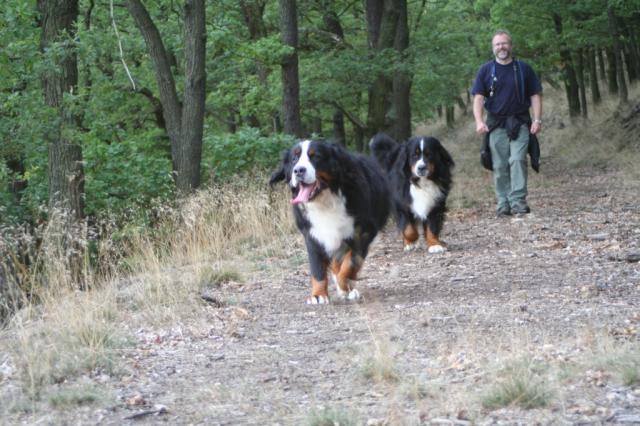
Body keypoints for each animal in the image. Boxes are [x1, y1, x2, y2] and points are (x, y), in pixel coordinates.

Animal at [270, 139, 390, 302]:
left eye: (316, 156)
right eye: (294, 159)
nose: (298, 170)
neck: (325, 201)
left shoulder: (363, 231)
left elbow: (351, 262)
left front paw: (344, 285)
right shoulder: (312, 234)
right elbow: (317, 267)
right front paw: (318, 295)